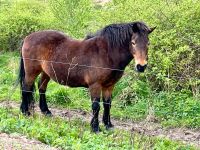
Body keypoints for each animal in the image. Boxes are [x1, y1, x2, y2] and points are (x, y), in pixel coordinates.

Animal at [18, 21, 155, 132]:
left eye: (148, 43)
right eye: (133, 42)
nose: (141, 66)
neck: (107, 53)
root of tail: (28, 37)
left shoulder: (109, 85)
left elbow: (107, 104)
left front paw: (108, 125)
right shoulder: (95, 85)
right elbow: (96, 105)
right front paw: (95, 127)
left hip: (46, 72)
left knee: (41, 88)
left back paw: (46, 111)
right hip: (31, 72)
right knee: (26, 88)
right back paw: (26, 112)